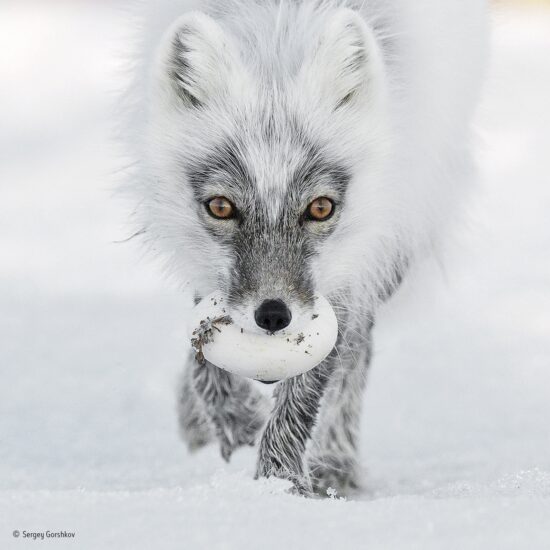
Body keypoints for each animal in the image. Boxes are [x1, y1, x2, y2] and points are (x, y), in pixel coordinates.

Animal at [128, 0, 488, 498]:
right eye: (221, 207)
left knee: (357, 354)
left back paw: (335, 463)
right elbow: (204, 350)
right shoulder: (205, 266)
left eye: (320, 208)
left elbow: (311, 386)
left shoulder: (350, 271)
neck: (277, 39)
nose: (273, 316)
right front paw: (235, 419)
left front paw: (280, 486)